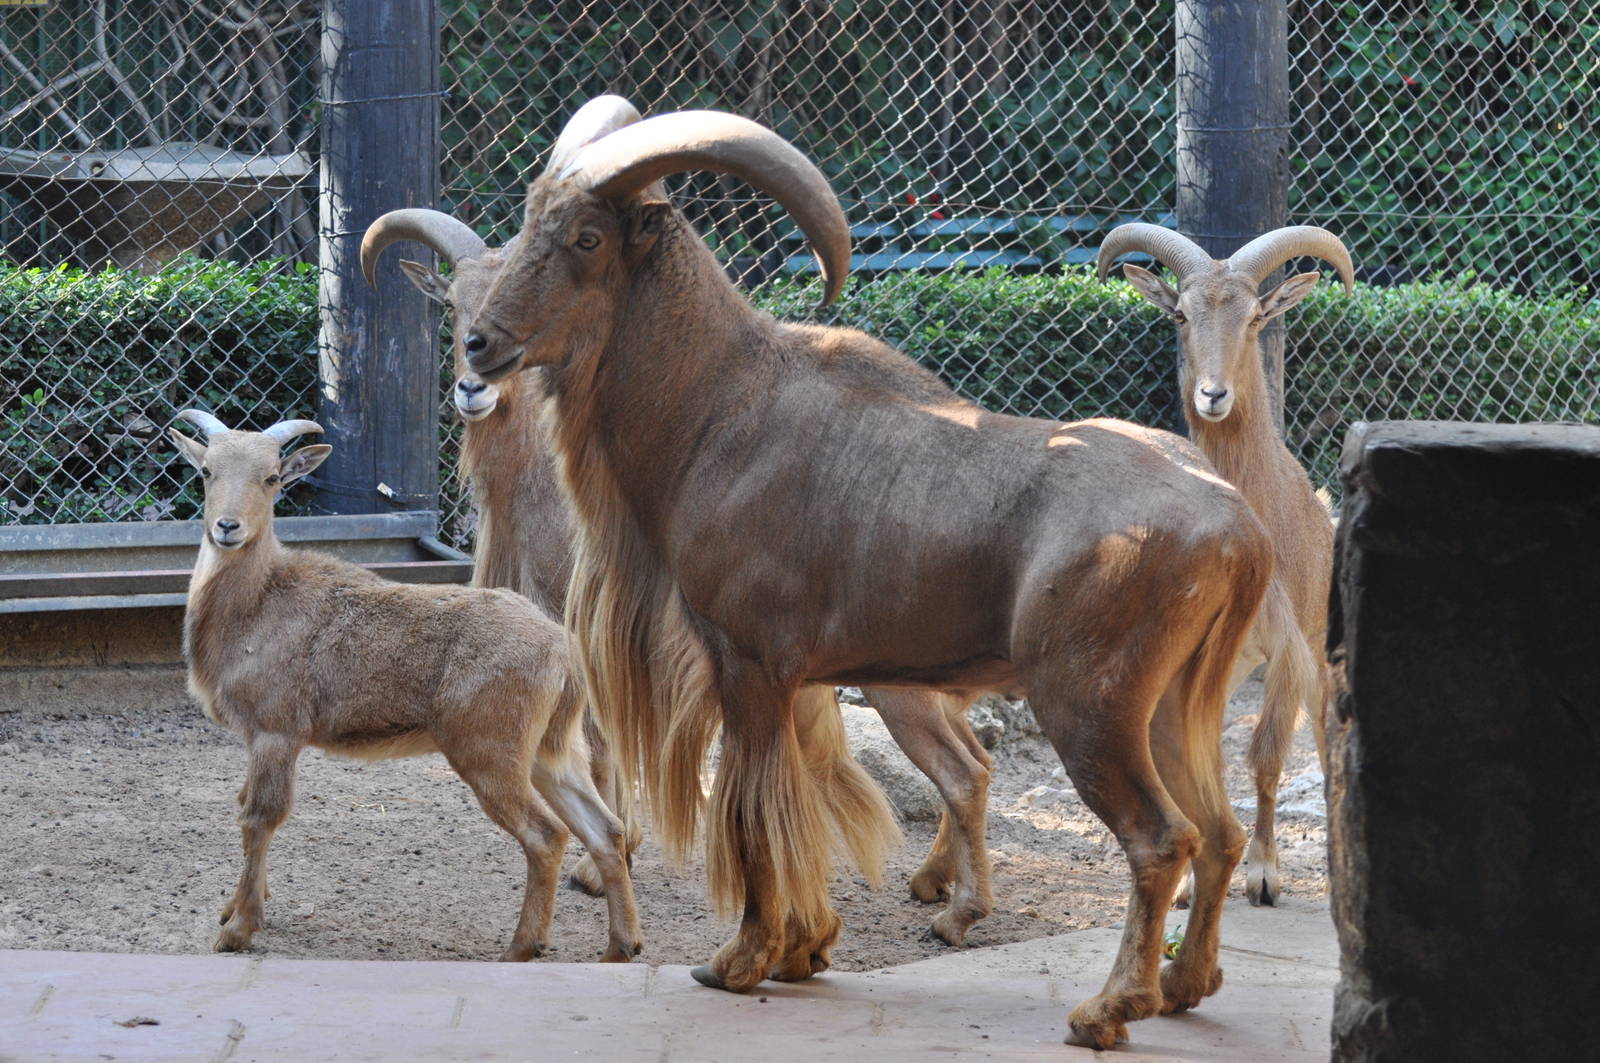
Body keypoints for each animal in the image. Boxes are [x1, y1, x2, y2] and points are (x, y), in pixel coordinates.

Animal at [168, 409, 642, 963]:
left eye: (270, 478)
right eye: (207, 471)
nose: (227, 527)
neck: (254, 604)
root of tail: (561, 653)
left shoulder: (276, 732)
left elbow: (260, 816)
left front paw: (238, 929)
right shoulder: (255, 738)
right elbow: (245, 806)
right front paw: (235, 907)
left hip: (489, 750)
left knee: (546, 835)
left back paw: (521, 949)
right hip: (553, 749)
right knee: (604, 830)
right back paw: (620, 947)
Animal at [360, 168, 997, 945]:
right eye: (451, 306)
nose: (474, 386)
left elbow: (604, 739)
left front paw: (604, 858)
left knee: (964, 767)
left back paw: (958, 911)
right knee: (975, 755)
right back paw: (932, 880)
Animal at [455, 98, 1274, 1050]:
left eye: (586, 236)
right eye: (528, 222)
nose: (480, 345)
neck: (713, 412)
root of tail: (1239, 525)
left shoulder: (748, 663)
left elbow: (755, 813)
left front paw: (743, 957)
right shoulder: (807, 681)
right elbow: (802, 799)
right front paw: (808, 948)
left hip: (1091, 703)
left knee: (1161, 839)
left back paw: (1109, 1008)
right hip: (1177, 701)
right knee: (1219, 831)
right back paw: (1185, 982)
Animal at [1096, 223, 1351, 907]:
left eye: (1256, 317)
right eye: (1181, 315)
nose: (1213, 395)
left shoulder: (1289, 652)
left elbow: (1265, 759)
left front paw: (1263, 873)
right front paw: (1188, 880)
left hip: (1319, 658)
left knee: (1326, 749)